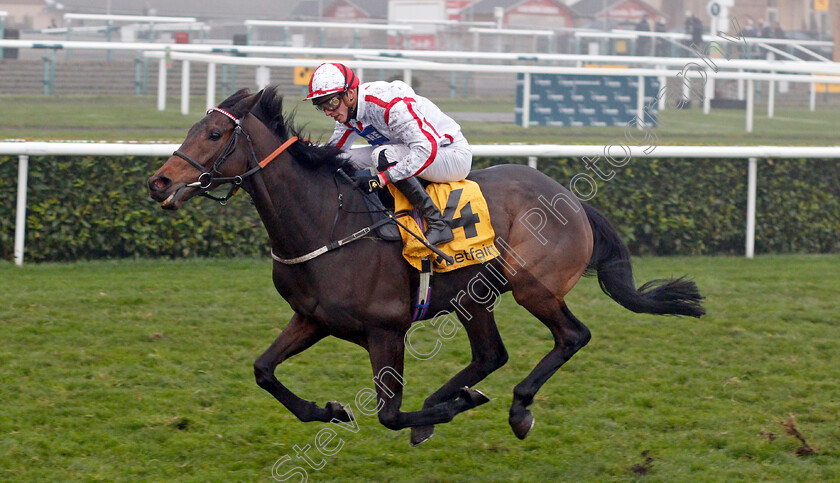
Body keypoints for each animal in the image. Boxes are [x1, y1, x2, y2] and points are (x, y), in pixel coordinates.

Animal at [146, 87, 704, 446]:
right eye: (193, 128)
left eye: (214, 134)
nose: (159, 182)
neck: (325, 222)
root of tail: (572, 199)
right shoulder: (311, 318)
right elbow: (263, 370)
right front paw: (327, 410)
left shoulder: (385, 330)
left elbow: (389, 415)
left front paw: (447, 409)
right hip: (474, 296)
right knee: (490, 355)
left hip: (533, 287)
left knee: (571, 336)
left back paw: (516, 408)